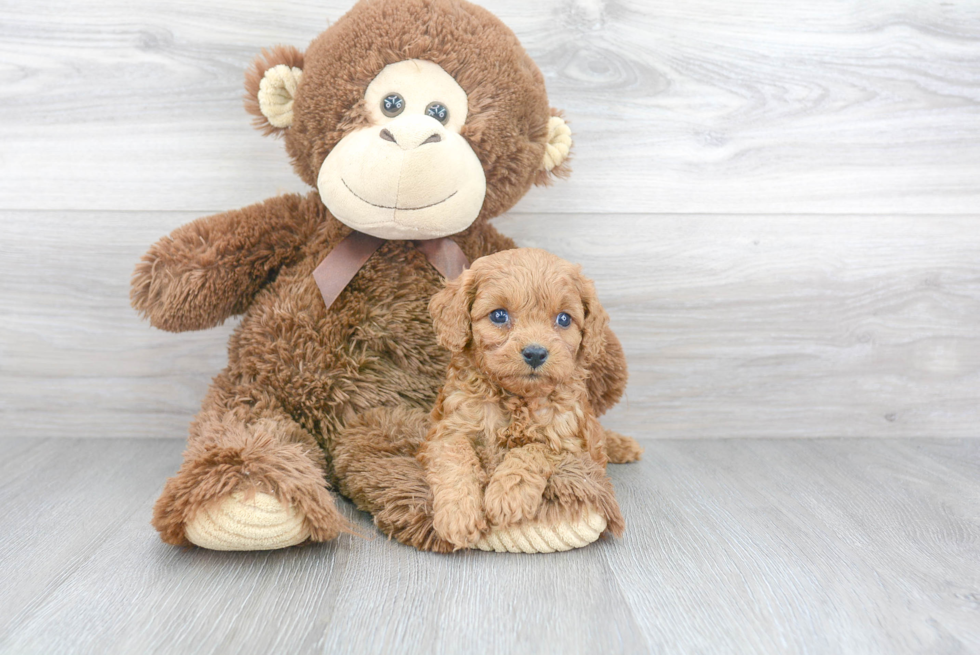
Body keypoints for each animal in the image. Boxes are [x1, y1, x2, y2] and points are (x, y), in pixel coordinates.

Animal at [416, 249, 640, 552]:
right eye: (499, 315)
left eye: (564, 319)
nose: (535, 353)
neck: (517, 400)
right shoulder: (447, 432)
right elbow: (455, 459)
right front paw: (458, 515)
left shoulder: (569, 443)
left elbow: (533, 449)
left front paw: (508, 493)